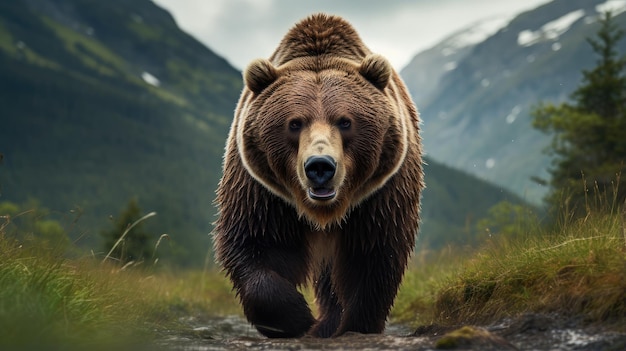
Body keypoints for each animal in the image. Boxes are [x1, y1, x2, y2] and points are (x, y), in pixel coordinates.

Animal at [212, 13, 422, 340]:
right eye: (295, 123)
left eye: (345, 121)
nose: (320, 166)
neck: (324, 211)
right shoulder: (262, 191)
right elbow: (255, 242)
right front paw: (296, 319)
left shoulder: (381, 194)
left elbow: (374, 256)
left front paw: (355, 325)